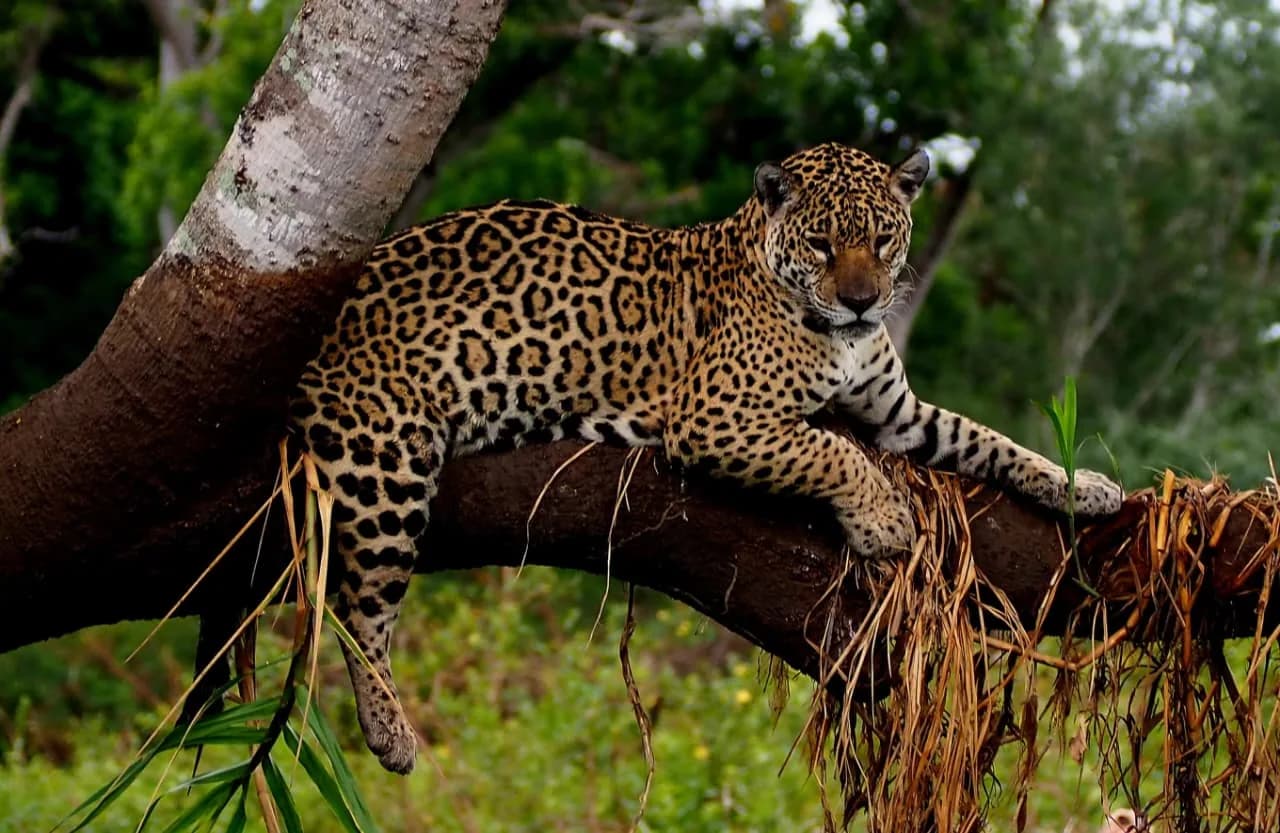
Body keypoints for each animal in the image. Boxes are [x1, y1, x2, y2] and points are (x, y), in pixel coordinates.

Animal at [288, 142, 1124, 775]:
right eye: (823, 244)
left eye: (883, 241)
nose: (862, 301)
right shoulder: (718, 415)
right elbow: (831, 448)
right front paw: (883, 519)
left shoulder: (899, 415)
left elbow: (987, 438)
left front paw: (1084, 487)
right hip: (388, 455)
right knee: (354, 601)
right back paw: (390, 731)